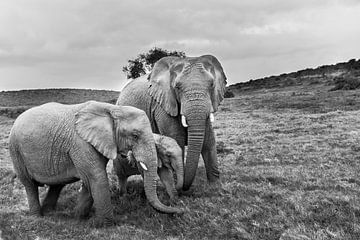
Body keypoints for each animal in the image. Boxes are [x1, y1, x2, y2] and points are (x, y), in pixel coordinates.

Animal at [8, 100, 183, 227]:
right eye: (135, 135)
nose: (179, 210)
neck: (113, 109)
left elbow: (89, 180)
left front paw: (79, 218)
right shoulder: (80, 143)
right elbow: (96, 177)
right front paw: (104, 225)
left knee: (56, 184)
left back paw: (50, 212)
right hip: (16, 150)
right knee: (29, 185)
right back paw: (38, 217)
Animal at [116, 55, 226, 190]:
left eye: (211, 85)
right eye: (177, 87)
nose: (184, 187)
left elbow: (208, 141)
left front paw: (215, 188)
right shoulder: (162, 106)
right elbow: (177, 139)